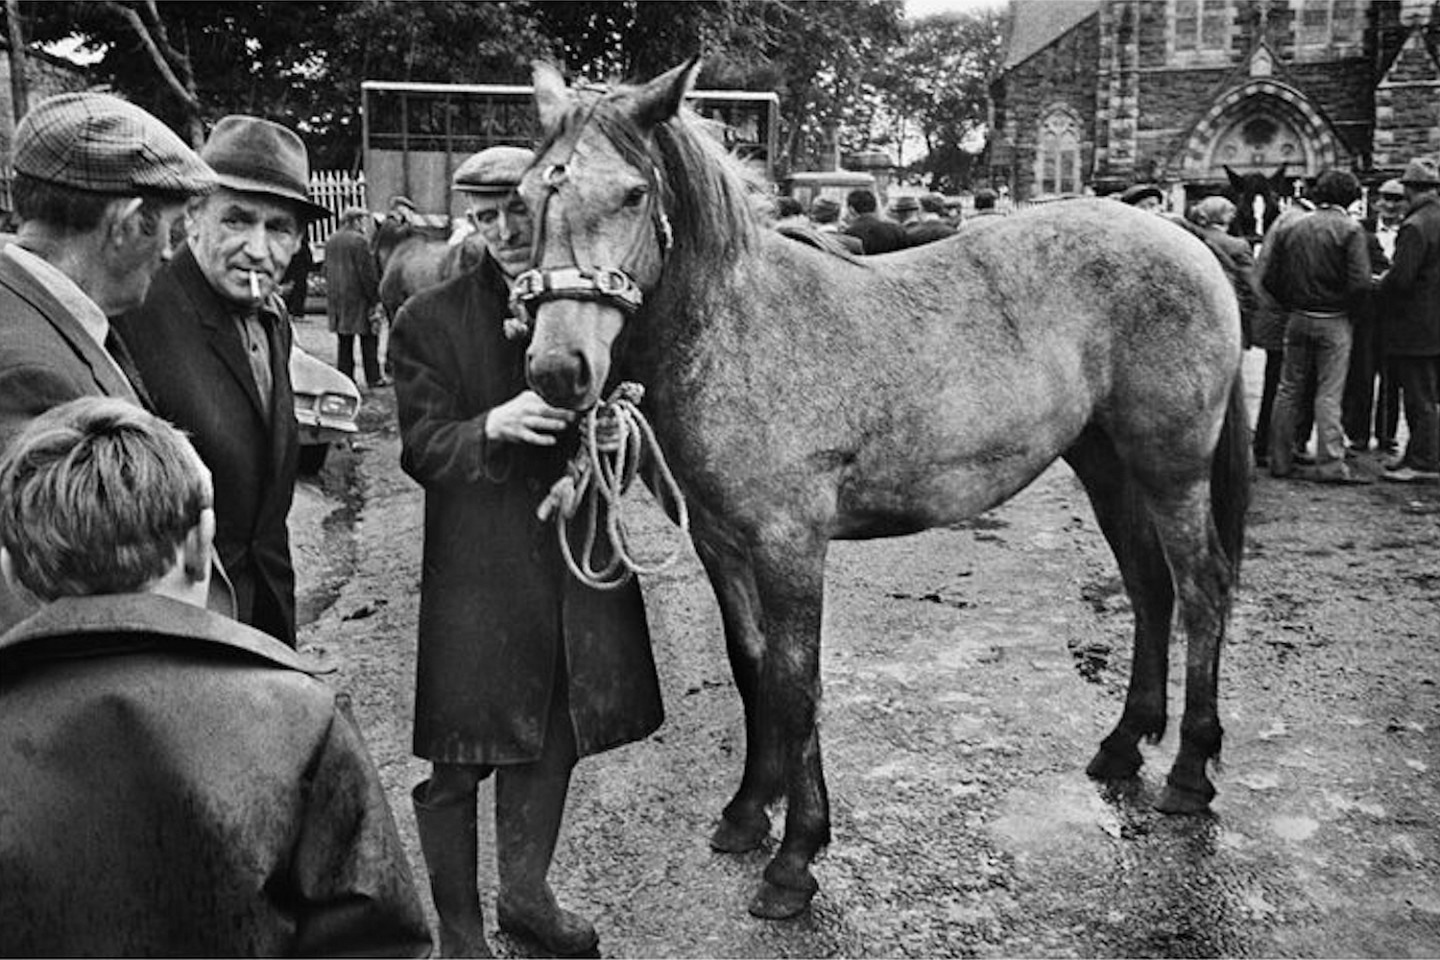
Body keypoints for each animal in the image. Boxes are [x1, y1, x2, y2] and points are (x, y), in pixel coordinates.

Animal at [515, 61, 1249, 921]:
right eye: (527, 195)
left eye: (634, 193)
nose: (558, 369)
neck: (738, 330)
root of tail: (1185, 239)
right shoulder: (722, 544)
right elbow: (752, 669)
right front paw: (747, 811)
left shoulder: (791, 544)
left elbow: (797, 684)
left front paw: (796, 856)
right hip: (1105, 465)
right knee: (1148, 589)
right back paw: (1124, 744)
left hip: (1171, 467)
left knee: (1200, 590)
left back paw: (1190, 771)